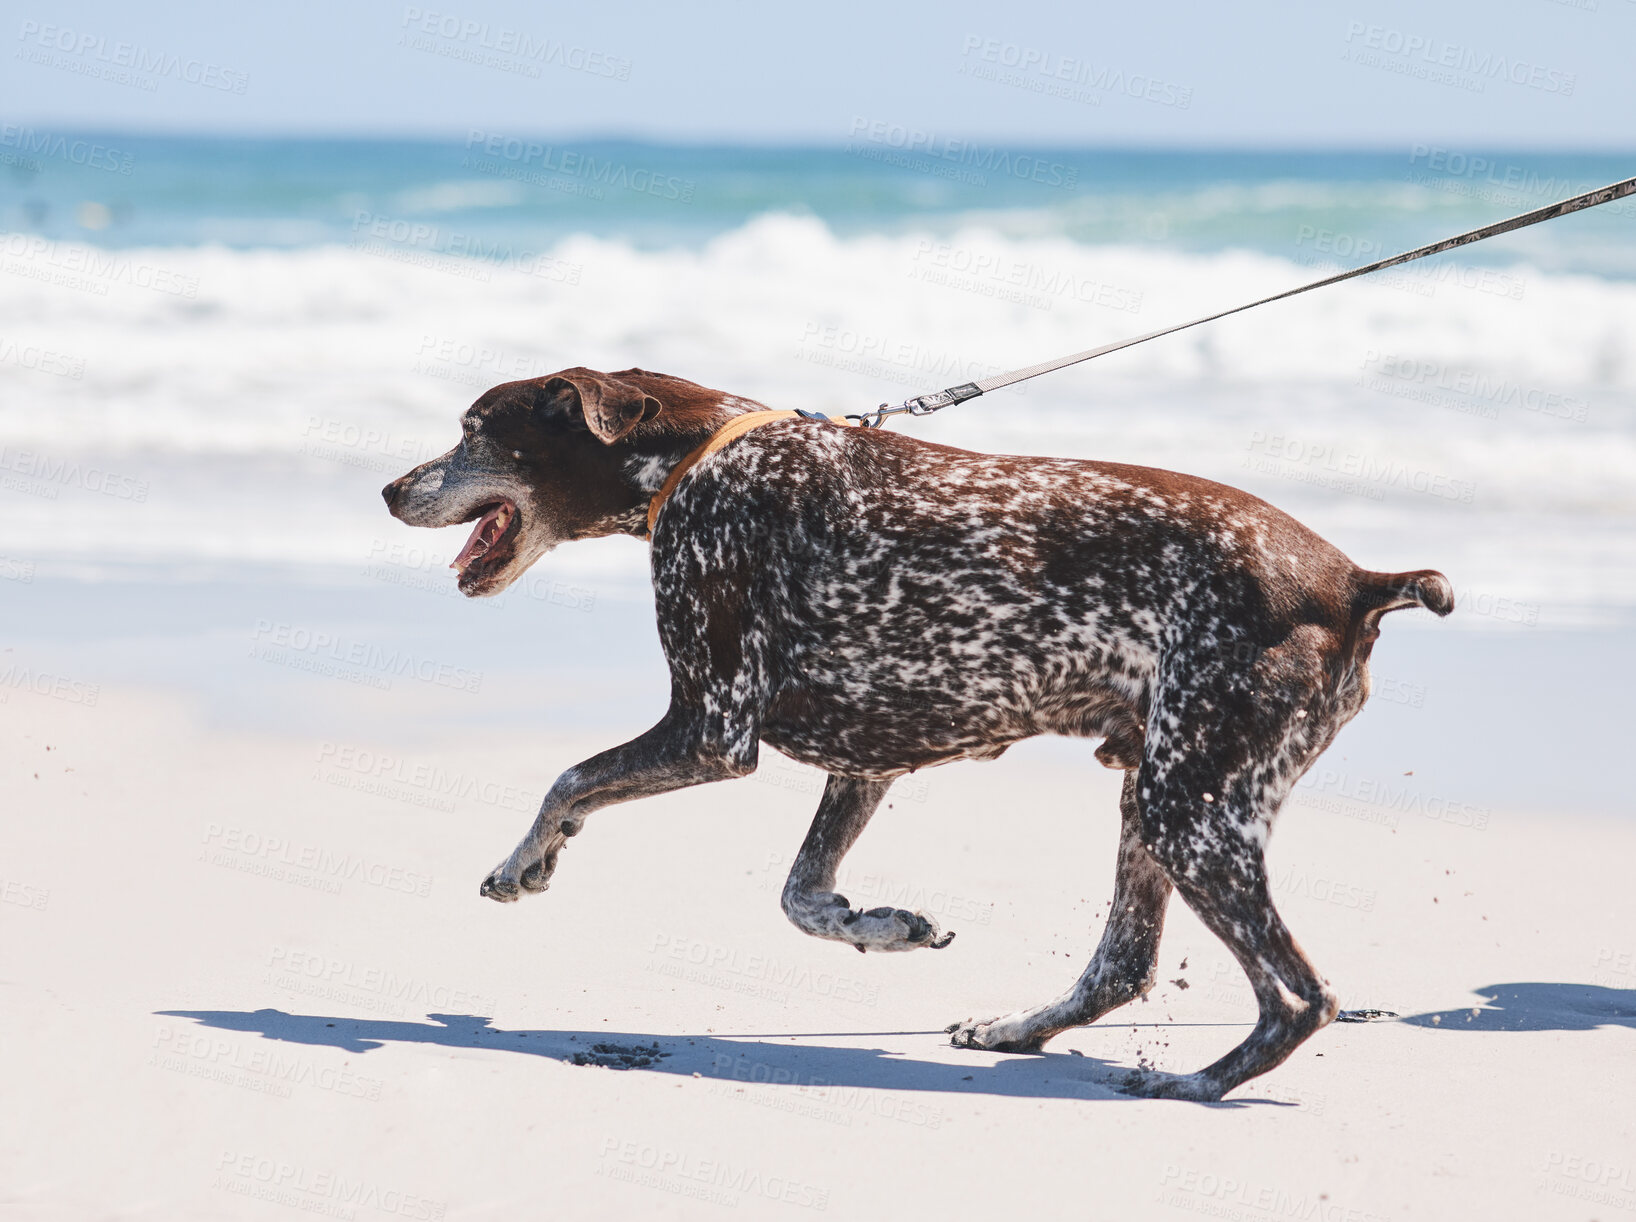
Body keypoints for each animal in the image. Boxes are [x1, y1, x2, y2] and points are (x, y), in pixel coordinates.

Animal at [382, 363, 1459, 1099]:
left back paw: (1193, 1081)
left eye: (475, 429)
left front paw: (522, 860)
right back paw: (1021, 1030)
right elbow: (801, 897)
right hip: (1157, 794)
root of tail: (1356, 580)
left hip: (1189, 807)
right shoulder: (867, 761)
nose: (391, 489)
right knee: (1123, 962)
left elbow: (570, 778)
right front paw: (884, 925)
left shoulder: (710, 727)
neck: (701, 457)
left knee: (1299, 995)